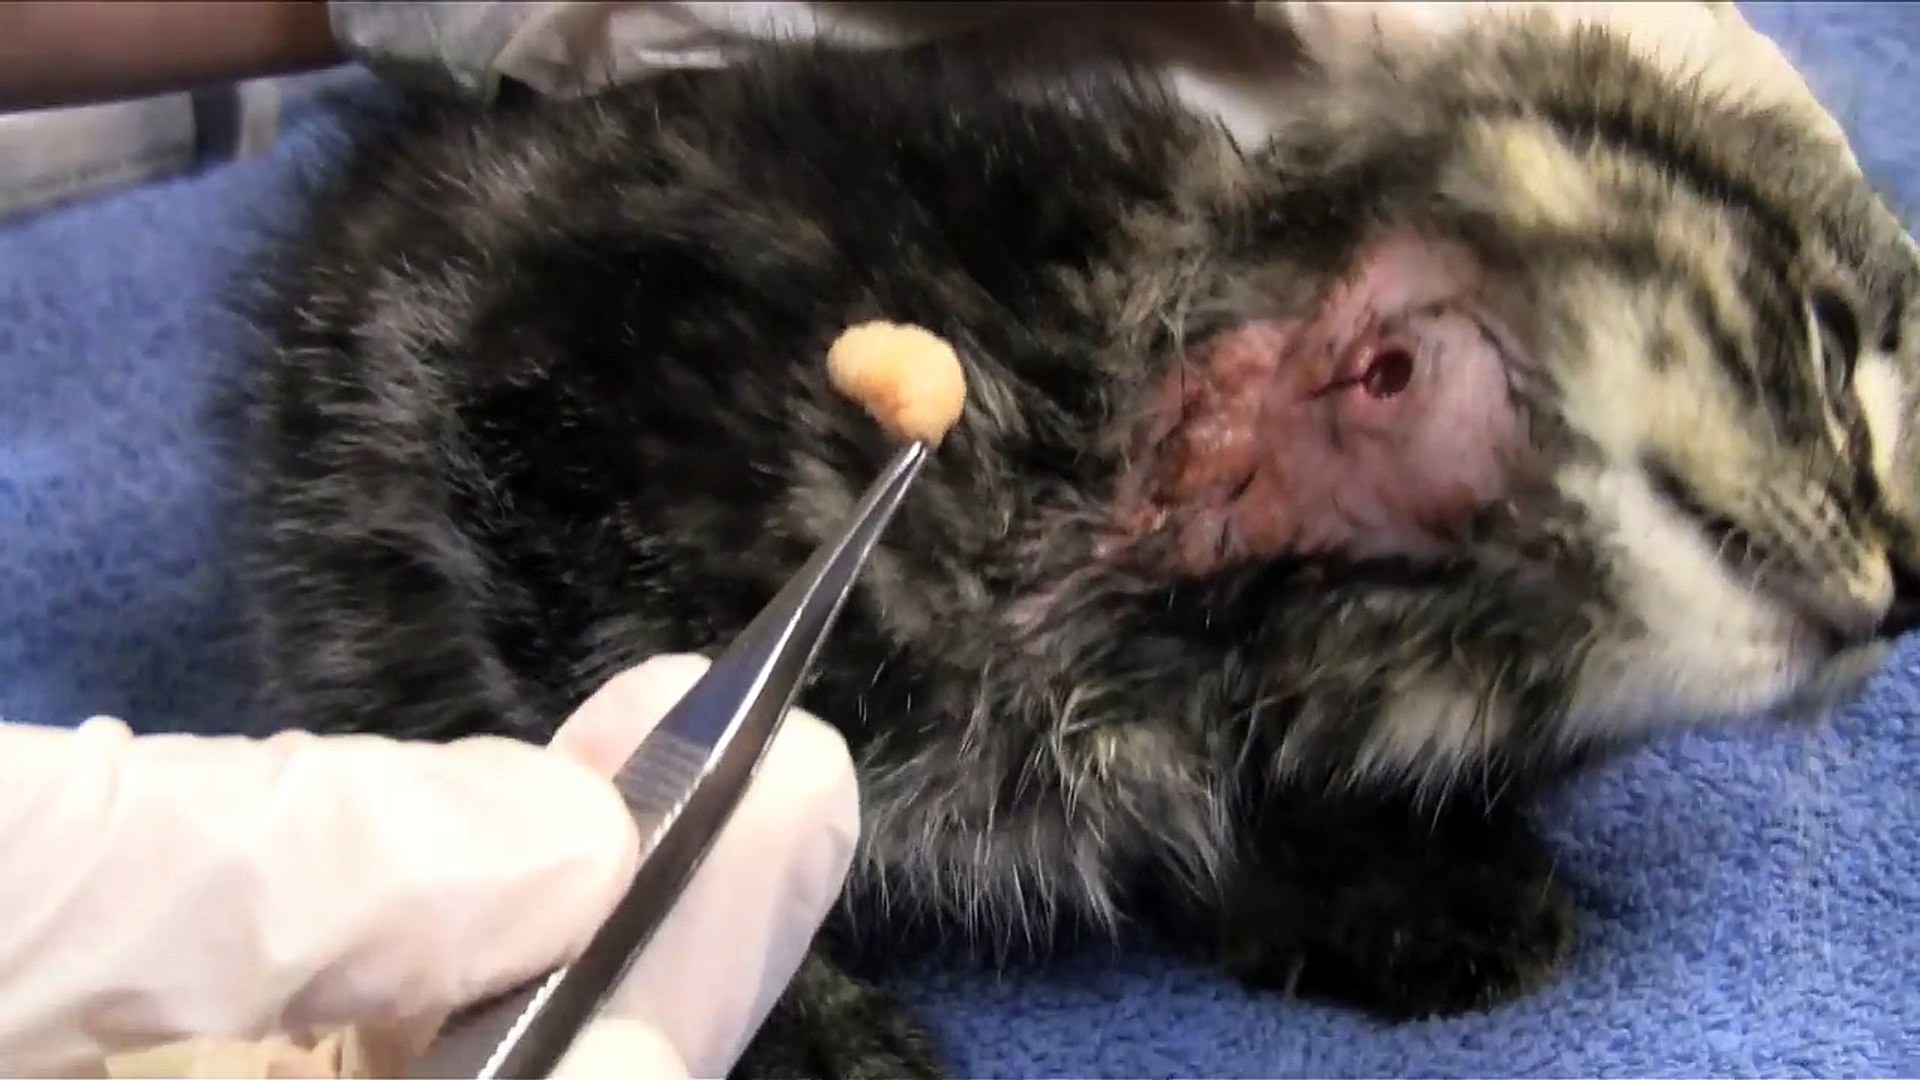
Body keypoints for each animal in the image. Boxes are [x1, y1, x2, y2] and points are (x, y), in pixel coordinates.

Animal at [233, 9, 1920, 1078]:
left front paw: (1375, 895)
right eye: (1835, 352)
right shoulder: (534, 400)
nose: (1907, 590)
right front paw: (786, 1022)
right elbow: (618, 760)